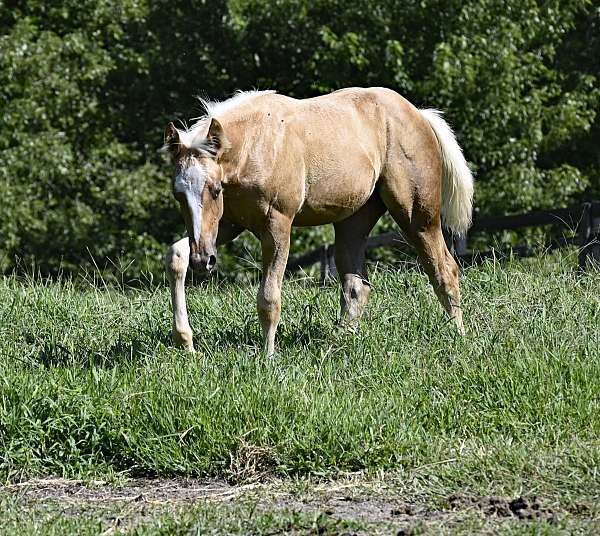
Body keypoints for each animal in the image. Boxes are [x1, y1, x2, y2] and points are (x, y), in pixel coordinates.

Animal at [163, 88, 474, 356]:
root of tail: (419, 114)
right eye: (178, 194)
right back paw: (336, 343)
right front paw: (185, 342)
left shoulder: (276, 225)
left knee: (445, 269)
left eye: (215, 189)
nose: (203, 261)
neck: (255, 146)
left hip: (417, 217)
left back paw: (458, 335)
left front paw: (268, 357)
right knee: (357, 285)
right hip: (353, 222)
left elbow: (269, 297)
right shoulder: (227, 225)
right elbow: (176, 254)